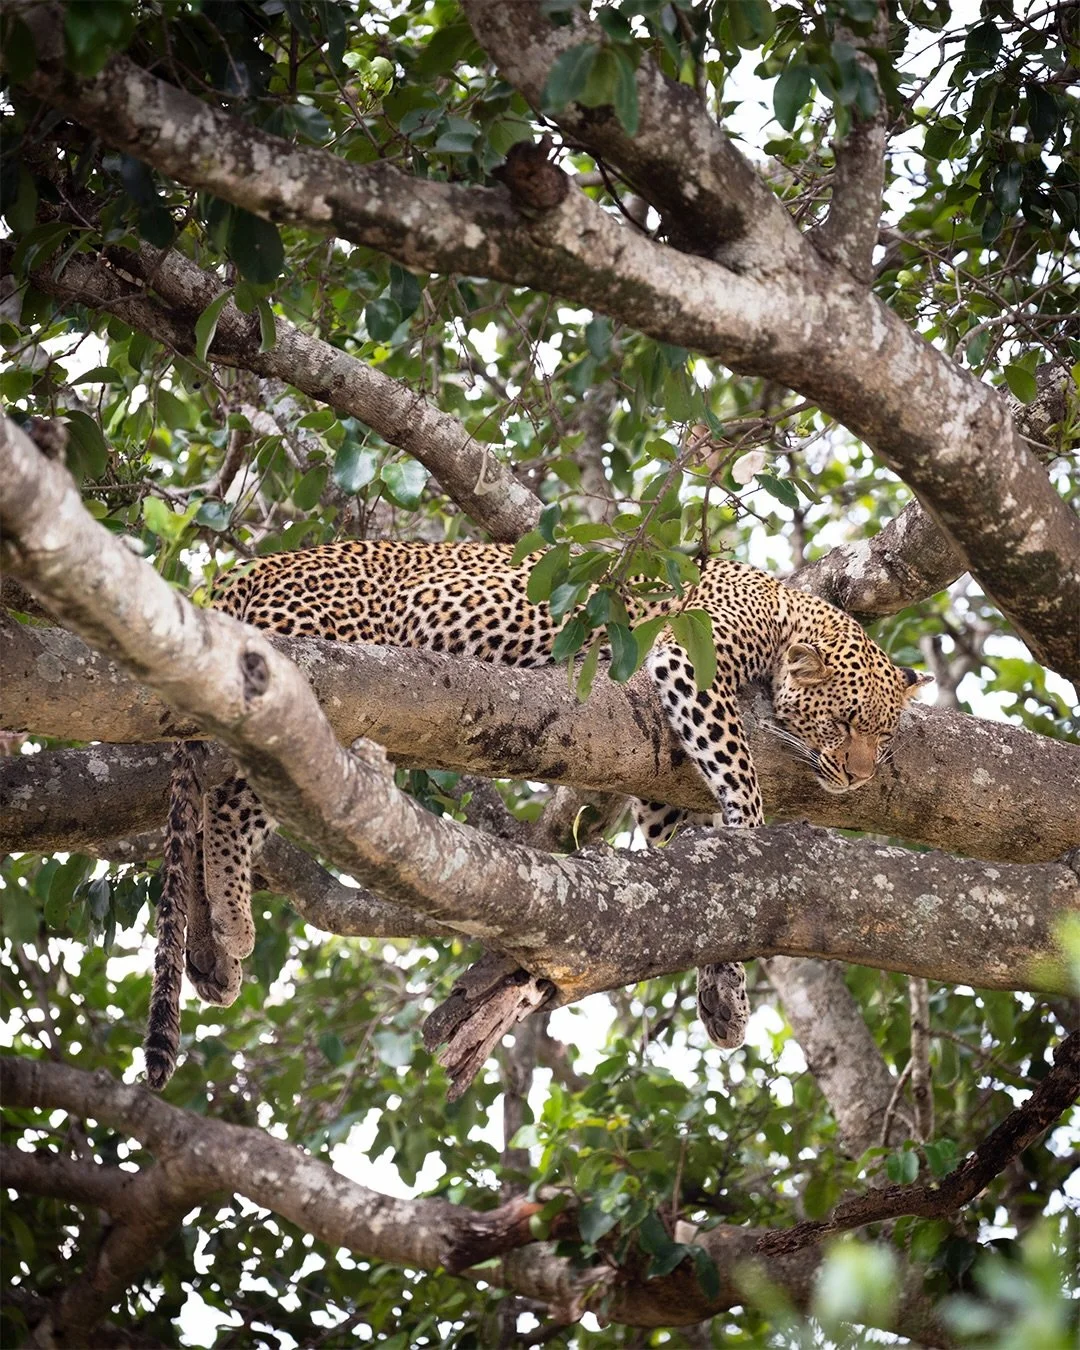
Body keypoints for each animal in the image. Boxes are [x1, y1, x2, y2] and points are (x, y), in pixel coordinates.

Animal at [145, 540, 931, 1088]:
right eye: (846, 722)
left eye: (884, 736)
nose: (859, 777)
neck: (779, 605)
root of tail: (236, 572)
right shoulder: (689, 664)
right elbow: (739, 773)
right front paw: (752, 829)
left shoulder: (659, 785)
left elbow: (695, 859)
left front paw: (724, 995)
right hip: (295, 685)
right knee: (230, 804)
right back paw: (233, 922)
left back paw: (212, 952)